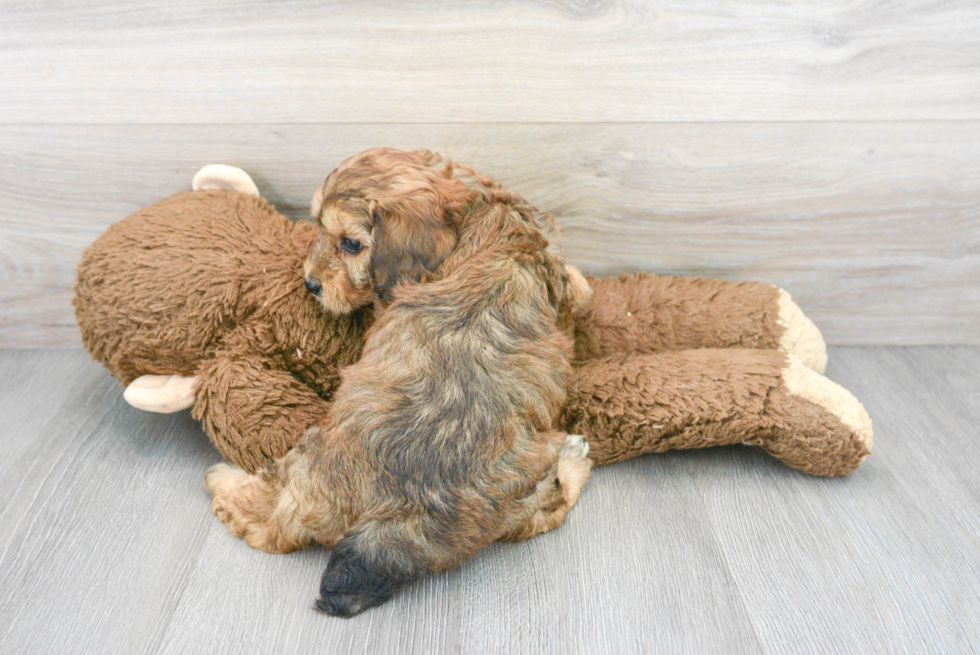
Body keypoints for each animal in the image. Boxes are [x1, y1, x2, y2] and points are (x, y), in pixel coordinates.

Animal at [205, 147, 588, 616]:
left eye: (351, 244)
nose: (310, 283)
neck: (476, 208)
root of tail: (401, 515)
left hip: (307, 463)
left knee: (269, 522)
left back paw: (226, 483)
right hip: (520, 488)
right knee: (549, 505)